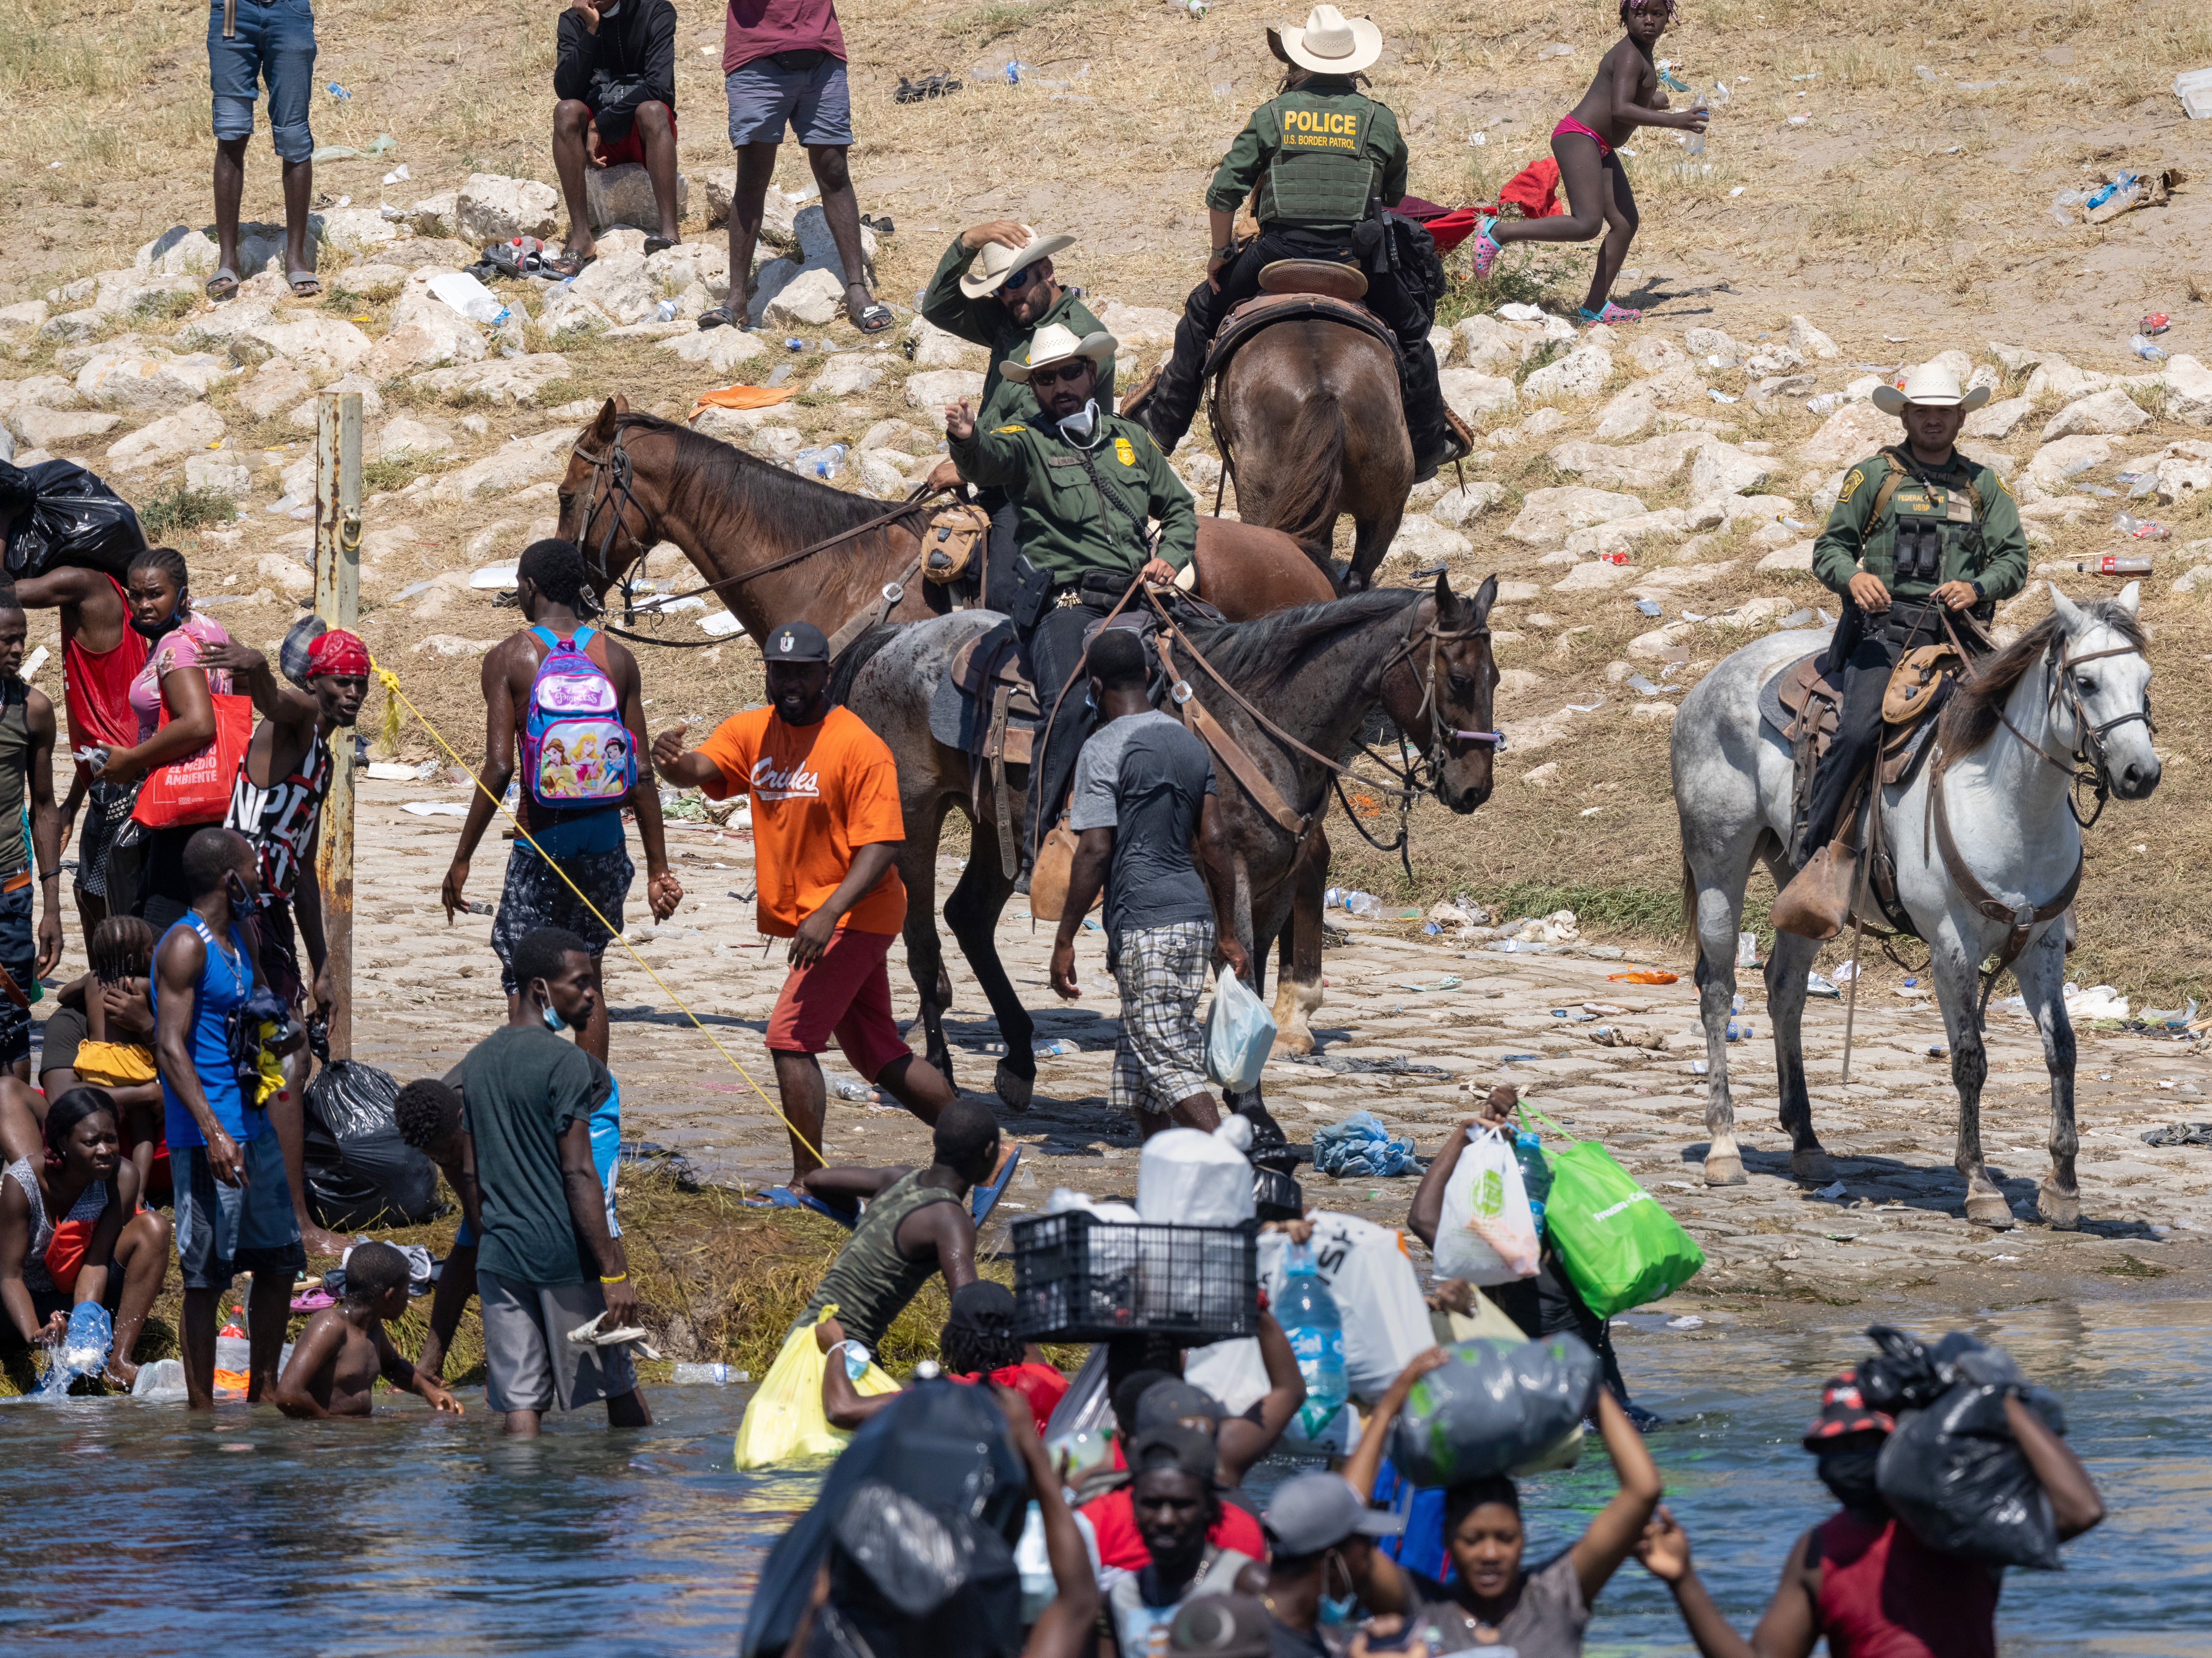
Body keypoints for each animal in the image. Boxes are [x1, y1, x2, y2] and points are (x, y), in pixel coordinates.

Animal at [1672, 588, 2159, 1238]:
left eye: (2144, 680)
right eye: (2085, 681)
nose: (2141, 773)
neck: (2007, 802)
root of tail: (1709, 681)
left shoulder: (2041, 944)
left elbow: (2062, 1048)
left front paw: (2063, 1187)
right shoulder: (1952, 945)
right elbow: (1970, 1058)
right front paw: (1980, 1185)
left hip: (1802, 887)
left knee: (1785, 987)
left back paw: (1807, 1141)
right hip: (1719, 864)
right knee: (1719, 990)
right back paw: (1724, 1146)